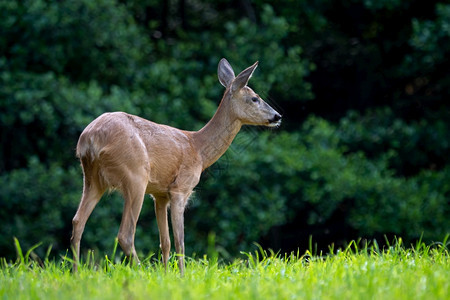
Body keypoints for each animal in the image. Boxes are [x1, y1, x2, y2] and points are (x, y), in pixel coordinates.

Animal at [70, 57, 282, 274]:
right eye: (255, 98)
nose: (277, 116)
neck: (198, 149)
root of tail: (90, 138)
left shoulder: (160, 194)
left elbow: (165, 242)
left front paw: (166, 274)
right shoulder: (180, 188)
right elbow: (180, 241)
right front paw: (181, 275)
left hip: (92, 177)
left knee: (78, 221)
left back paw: (77, 273)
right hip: (135, 175)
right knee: (125, 234)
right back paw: (140, 272)